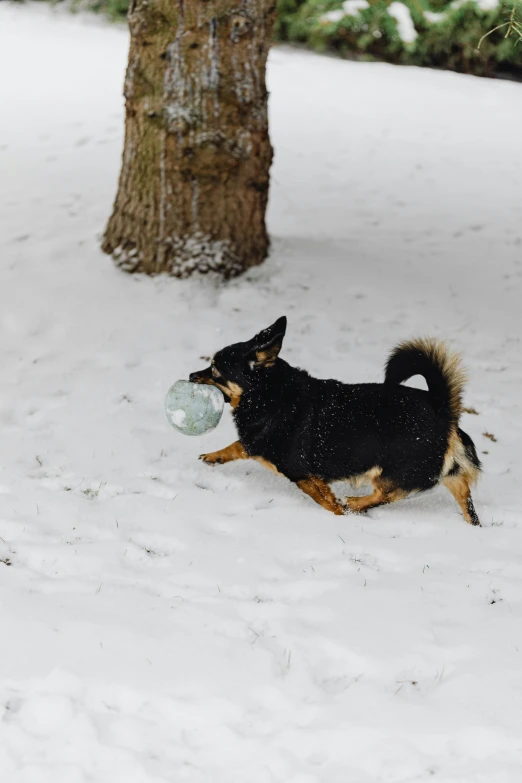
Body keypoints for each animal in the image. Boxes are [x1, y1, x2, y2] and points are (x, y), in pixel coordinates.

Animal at [190, 316, 480, 524]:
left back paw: (355, 503)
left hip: (394, 472)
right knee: (465, 499)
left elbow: (323, 498)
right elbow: (237, 446)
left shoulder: (301, 473)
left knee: (387, 494)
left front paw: (339, 513)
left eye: (215, 369)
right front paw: (214, 456)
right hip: (447, 475)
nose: (192, 375)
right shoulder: (263, 448)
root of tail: (442, 408)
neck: (270, 394)